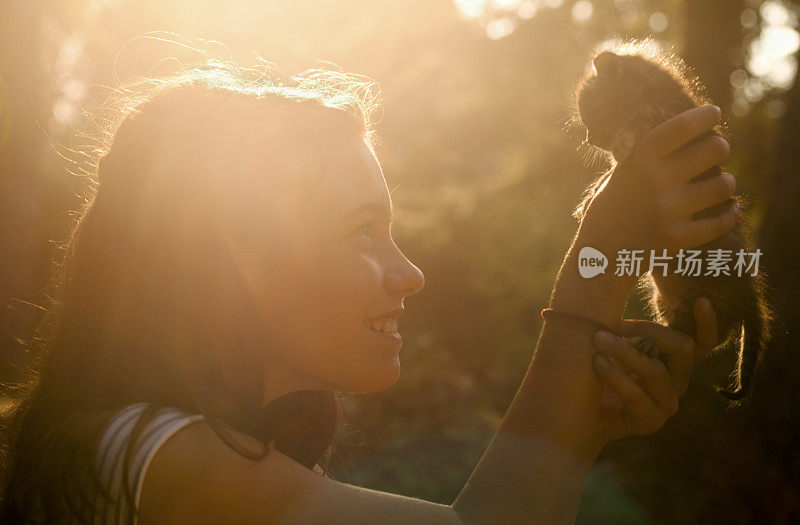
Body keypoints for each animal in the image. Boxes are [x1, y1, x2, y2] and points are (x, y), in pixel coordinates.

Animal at [576, 40, 776, 402]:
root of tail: (749, 295)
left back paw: (652, 346)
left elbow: (639, 124)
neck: (659, 96)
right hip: (670, 298)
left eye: (592, 113)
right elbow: (611, 171)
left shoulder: (670, 126)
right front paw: (592, 195)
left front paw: (624, 141)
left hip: (700, 300)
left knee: (699, 334)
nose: (590, 140)